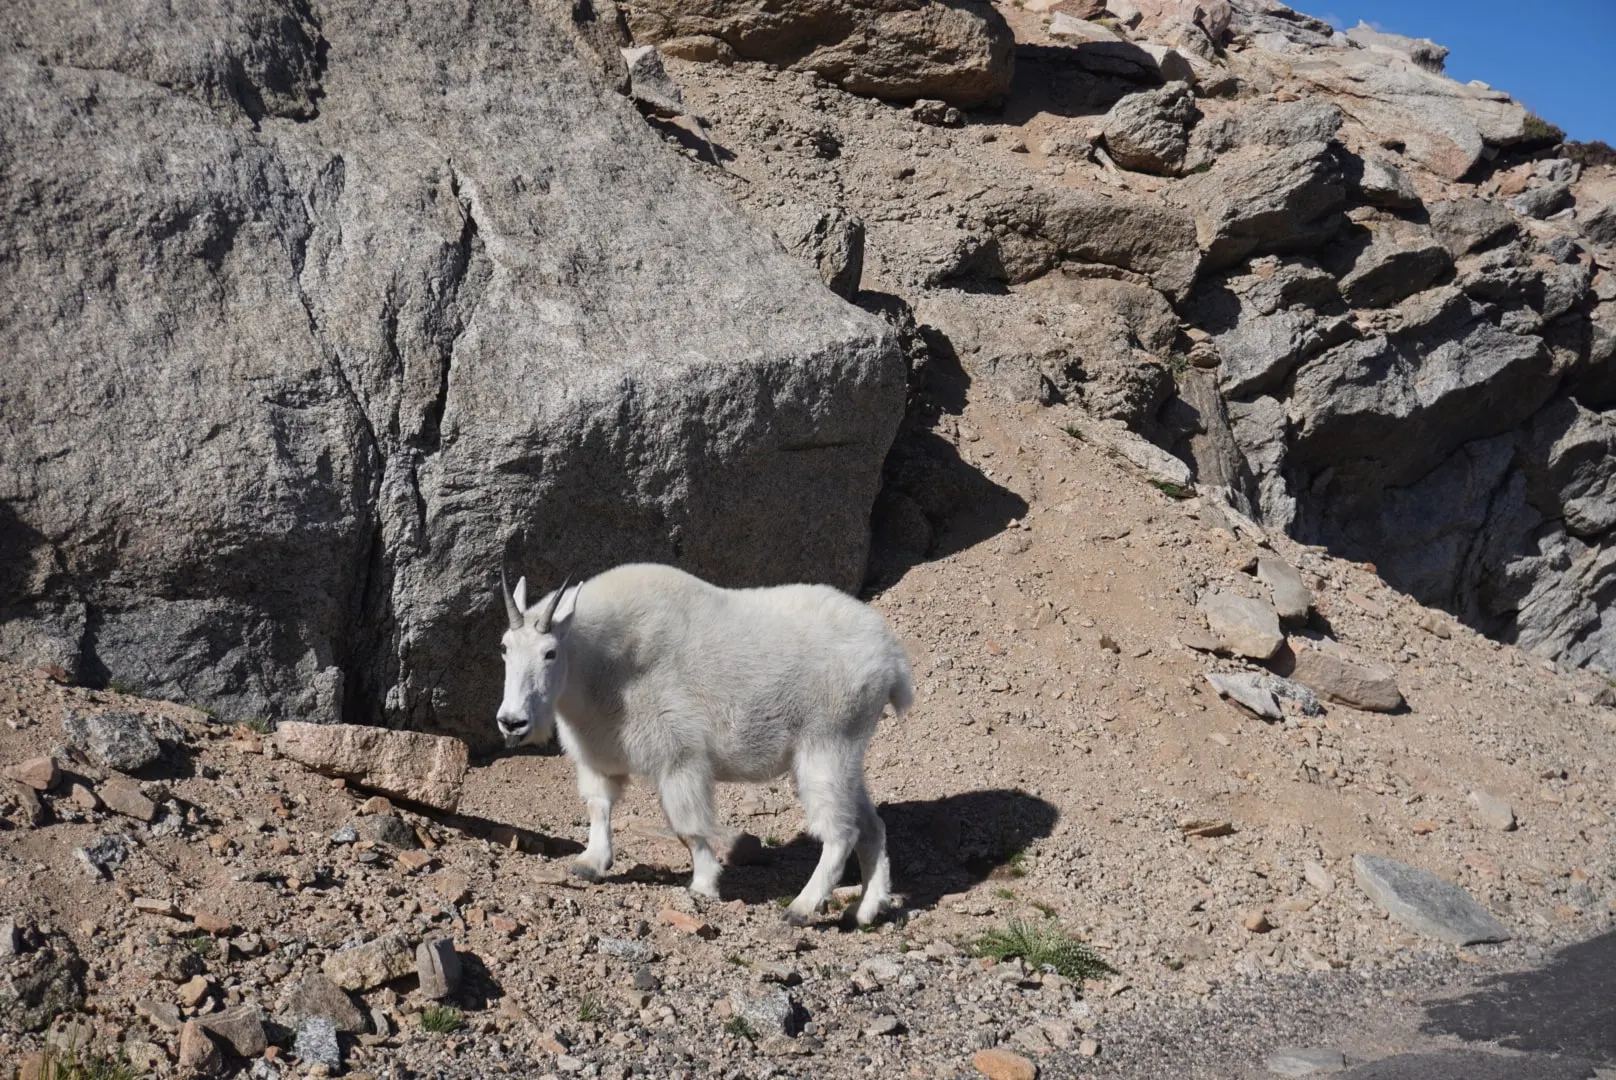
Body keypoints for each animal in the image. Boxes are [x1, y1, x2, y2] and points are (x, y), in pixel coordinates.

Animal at [497, 562, 913, 926]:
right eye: (504, 647)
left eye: (550, 652)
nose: (512, 722)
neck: (602, 663)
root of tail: (892, 656)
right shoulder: (599, 755)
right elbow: (599, 806)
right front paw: (590, 863)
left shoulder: (680, 758)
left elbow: (688, 826)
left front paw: (703, 883)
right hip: (846, 753)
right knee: (872, 826)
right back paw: (866, 909)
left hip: (826, 745)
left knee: (841, 832)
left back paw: (802, 907)